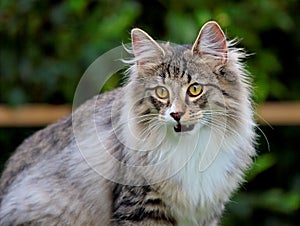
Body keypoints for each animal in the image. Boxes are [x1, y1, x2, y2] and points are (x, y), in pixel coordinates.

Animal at [0, 21, 255, 226]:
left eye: (194, 89)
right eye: (162, 92)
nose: (175, 114)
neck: (190, 148)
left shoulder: (207, 209)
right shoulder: (141, 205)